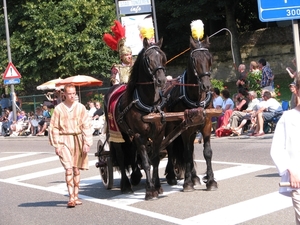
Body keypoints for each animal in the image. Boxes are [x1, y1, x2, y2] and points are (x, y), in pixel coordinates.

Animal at [104, 37, 168, 200]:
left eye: (163, 57)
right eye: (148, 59)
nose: (161, 80)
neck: (149, 103)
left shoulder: (158, 135)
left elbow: (155, 160)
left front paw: (157, 186)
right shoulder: (140, 135)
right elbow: (145, 162)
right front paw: (150, 191)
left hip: (129, 135)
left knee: (132, 153)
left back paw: (135, 176)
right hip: (118, 135)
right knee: (121, 157)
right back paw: (126, 185)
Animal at [164, 37, 218, 192]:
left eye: (209, 58)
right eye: (194, 59)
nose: (206, 86)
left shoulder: (206, 125)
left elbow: (207, 152)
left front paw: (210, 181)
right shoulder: (185, 129)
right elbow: (187, 154)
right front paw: (187, 183)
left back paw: (194, 177)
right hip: (170, 127)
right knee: (170, 147)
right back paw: (172, 175)